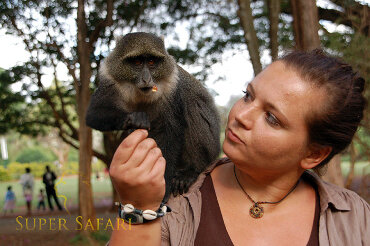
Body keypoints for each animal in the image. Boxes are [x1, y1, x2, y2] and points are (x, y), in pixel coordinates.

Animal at [86, 32, 220, 201]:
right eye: (137, 62)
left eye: (151, 61)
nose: (146, 79)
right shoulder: (109, 80)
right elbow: (94, 113)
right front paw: (134, 119)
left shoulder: (172, 89)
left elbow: (170, 132)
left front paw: (163, 189)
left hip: (210, 147)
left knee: (193, 105)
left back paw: (191, 171)